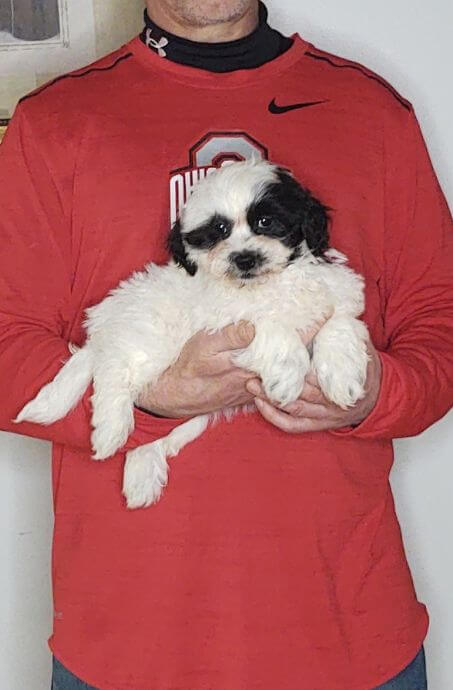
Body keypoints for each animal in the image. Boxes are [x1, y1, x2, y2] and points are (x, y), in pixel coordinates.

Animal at [14, 160, 370, 506]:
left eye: (266, 221)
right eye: (219, 230)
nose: (244, 258)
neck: (268, 284)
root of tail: (107, 325)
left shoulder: (337, 295)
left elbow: (341, 323)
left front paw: (343, 375)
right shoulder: (225, 319)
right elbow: (270, 325)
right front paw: (287, 376)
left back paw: (141, 476)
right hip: (150, 341)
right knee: (113, 367)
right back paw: (111, 428)